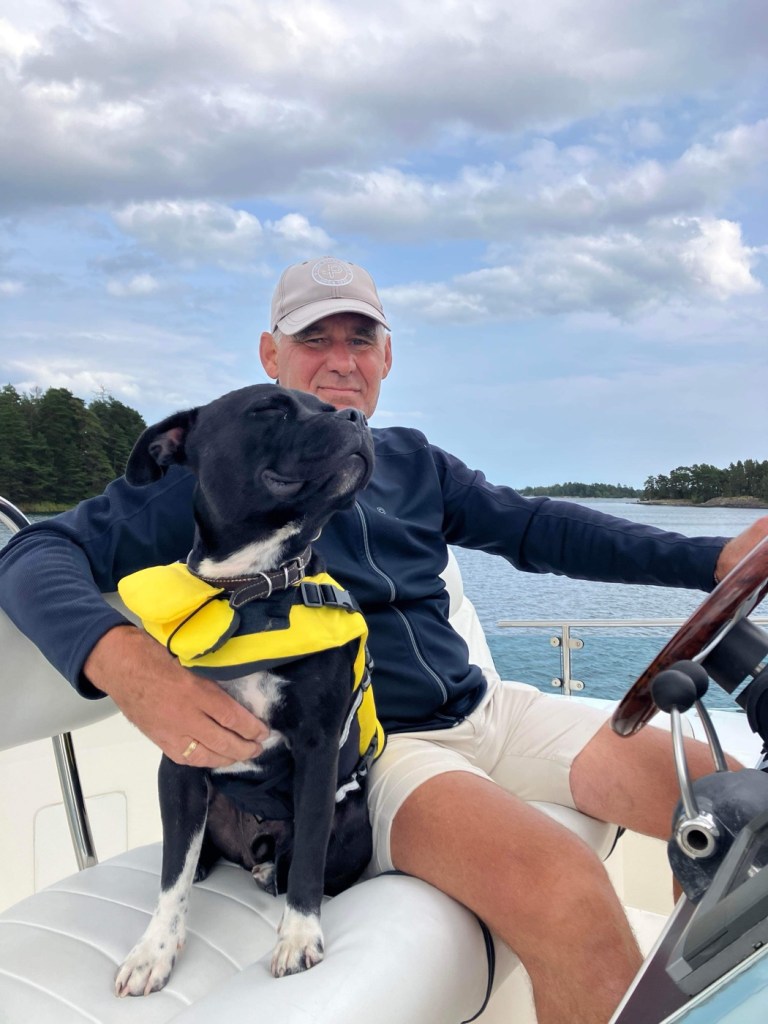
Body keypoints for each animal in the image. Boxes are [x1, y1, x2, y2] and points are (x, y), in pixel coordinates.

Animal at [113, 384, 381, 996]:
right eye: (269, 409)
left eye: (325, 407)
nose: (356, 416)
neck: (252, 590)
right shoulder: (180, 756)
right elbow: (171, 875)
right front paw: (153, 950)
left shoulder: (316, 754)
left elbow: (307, 858)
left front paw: (299, 937)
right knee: (194, 854)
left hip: (350, 814)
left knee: (299, 865)